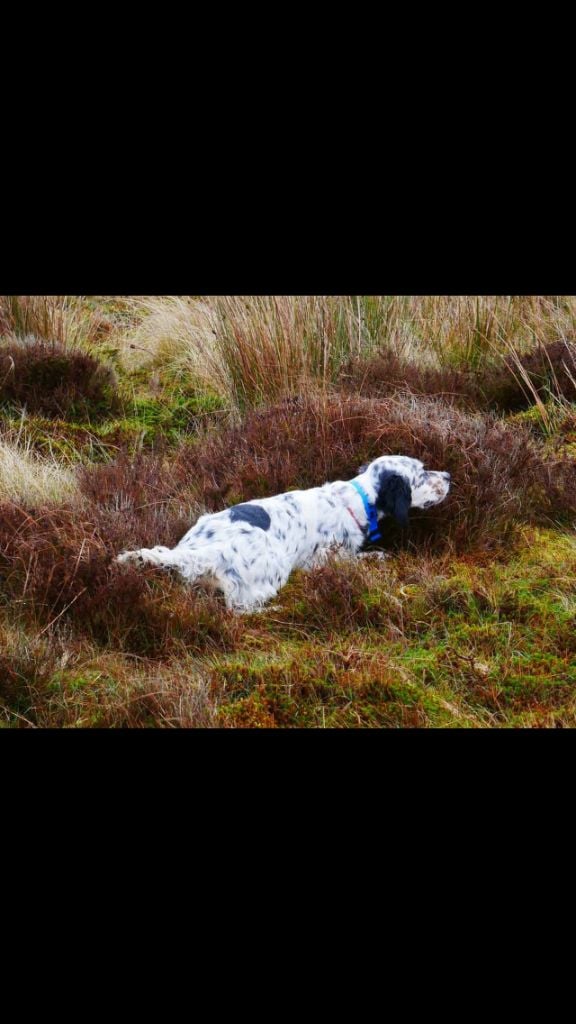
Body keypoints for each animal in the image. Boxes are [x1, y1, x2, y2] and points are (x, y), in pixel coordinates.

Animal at [116, 454, 448, 610]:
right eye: (421, 473)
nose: (448, 475)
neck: (355, 500)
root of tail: (202, 553)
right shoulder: (322, 560)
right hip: (274, 564)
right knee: (238, 609)